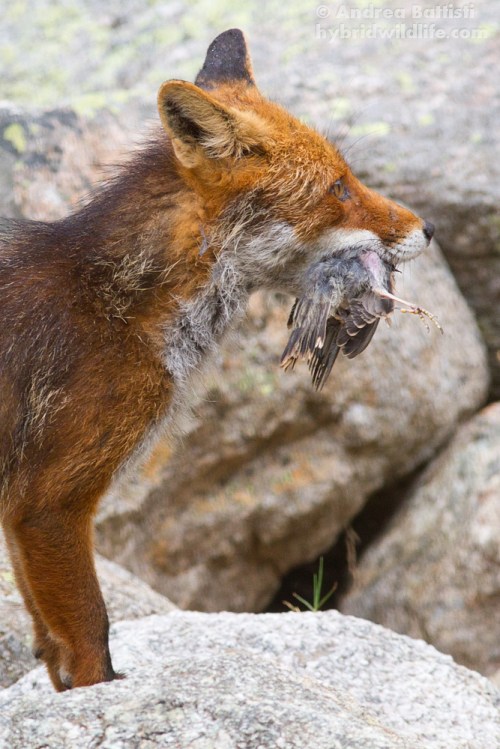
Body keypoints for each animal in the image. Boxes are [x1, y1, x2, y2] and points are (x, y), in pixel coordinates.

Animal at [0, 29, 434, 691]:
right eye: (338, 188)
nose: (430, 227)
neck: (116, 305)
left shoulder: (20, 516)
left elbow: (53, 649)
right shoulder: (47, 503)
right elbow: (91, 635)